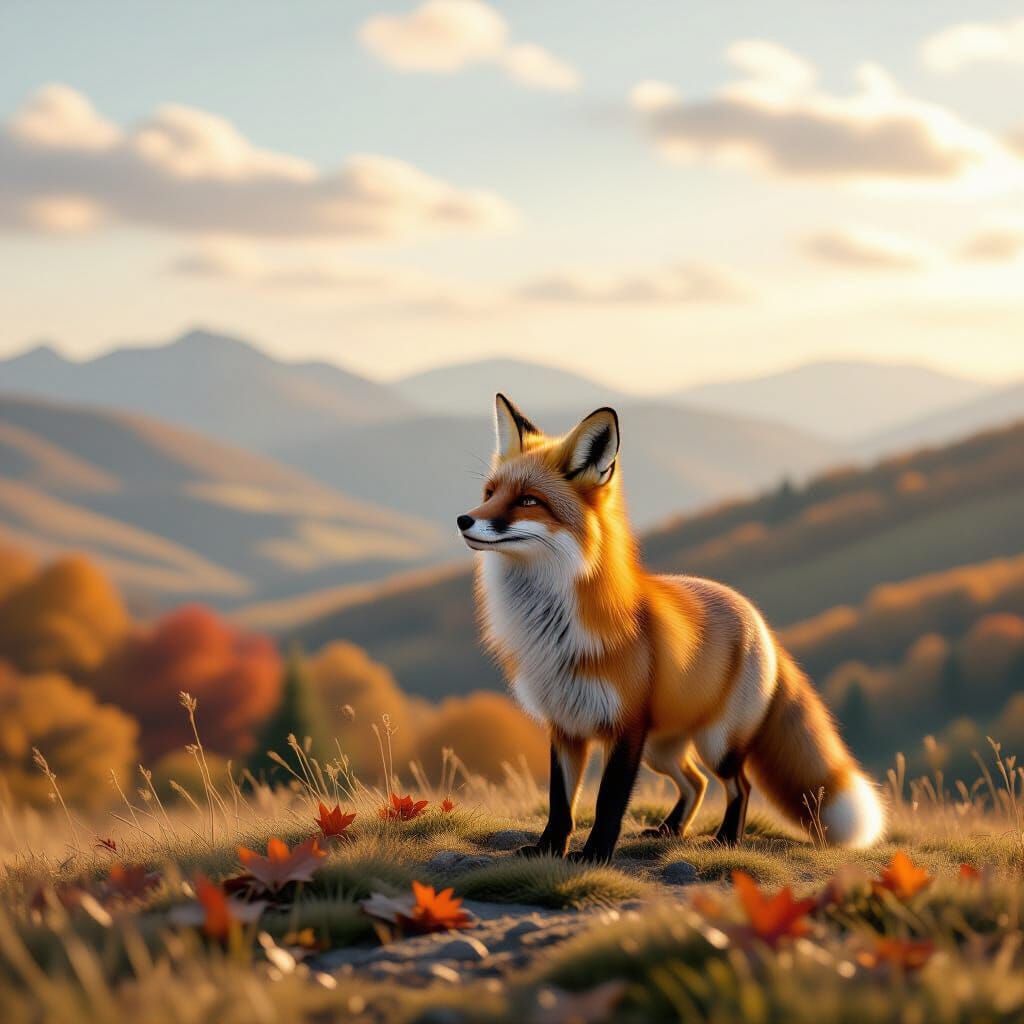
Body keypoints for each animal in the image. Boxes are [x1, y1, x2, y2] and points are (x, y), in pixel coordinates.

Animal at [456, 394, 886, 862]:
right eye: (490, 494)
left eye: (528, 501)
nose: (463, 519)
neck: (554, 628)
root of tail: (756, 616)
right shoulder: (566, 726)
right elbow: (560, 803)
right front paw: (548, 850)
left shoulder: (626, 728)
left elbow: (609, 802)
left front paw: (594, 856)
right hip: (663, 750)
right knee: (695, 782)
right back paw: (670, 829)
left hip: (715, 744)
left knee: (739, 784)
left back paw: (726, 839)